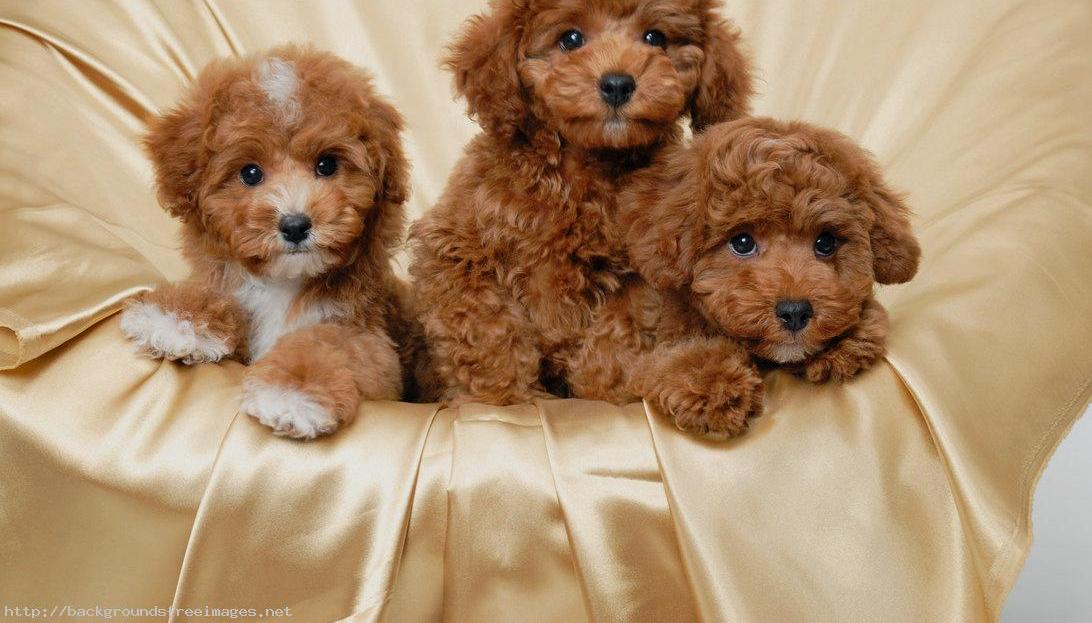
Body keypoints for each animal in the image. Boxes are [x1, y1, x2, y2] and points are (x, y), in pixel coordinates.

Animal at [117, 45, 410, 438]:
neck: (285, 281)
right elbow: (225, 299)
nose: (295, 225)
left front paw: (292, 393)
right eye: (250, 173)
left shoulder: (367, 338)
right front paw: (174, 317)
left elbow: (325, 342)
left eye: (327, 165)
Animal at [408, 0, 751, 403]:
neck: (584, 170)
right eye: (570, 39)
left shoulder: (644, 269)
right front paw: (505, 395)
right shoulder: (455, 248)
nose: (617, 84)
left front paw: (603, 386)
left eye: (655, 38)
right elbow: (485, 326)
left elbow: (623, 325)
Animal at [624, 116, 921, 438]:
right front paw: (713, 383)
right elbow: (669, 359)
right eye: (742, 242)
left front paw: (848, 341)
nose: (795, 312)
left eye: (826, 242)